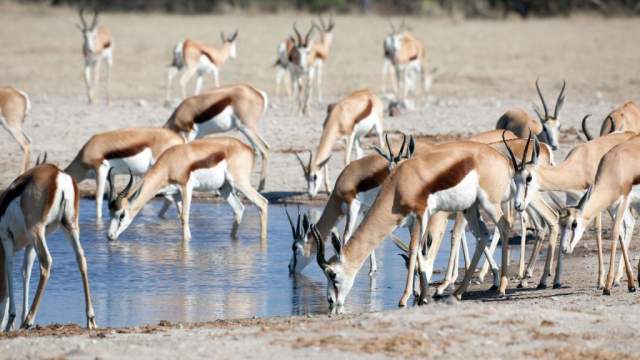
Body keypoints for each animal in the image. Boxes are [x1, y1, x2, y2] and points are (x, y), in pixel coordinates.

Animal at [0, 162, 96, 330]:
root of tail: (58, 174)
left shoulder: (6, 240)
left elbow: (9, 272)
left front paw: (12, 320)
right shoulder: (29, 245)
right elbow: (25, 272)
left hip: (37, 230)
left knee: (46, 262)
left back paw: (28, 320)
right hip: (69, 227)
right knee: (81, 259)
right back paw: (90, 318)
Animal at [109, 137, 268, 242]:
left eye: (122, 214)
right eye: (110, 214)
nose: (109, 236)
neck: (170, 163)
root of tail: (247, 148)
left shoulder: (186, 188)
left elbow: (185, 216)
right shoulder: (176, 194)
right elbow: (181, 217)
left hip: (240, 183)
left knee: (262, 202)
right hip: (225, 188)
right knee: (239, 208)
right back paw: (233, 239)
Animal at [312, 141, 516, 312]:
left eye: (333, 275)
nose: (331, 301)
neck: (399, 184)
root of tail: (503, 160)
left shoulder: (421, 214)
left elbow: (413, 249)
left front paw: (405, 298)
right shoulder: (411, 221)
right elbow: (418, 253)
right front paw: (422, 297)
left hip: (489, 203)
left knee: (504, 226)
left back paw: (502, 287)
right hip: (470, 208)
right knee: (483, 235)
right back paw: (458, 292)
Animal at [564, 135, 640, 296]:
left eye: (574, 224)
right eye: (561, 224)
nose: (565, 249)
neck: (617, 166)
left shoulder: (624, 200)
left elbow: (615, 231)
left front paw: (607, 287)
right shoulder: (612, 205)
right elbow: (620, 234)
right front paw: (631, 284)